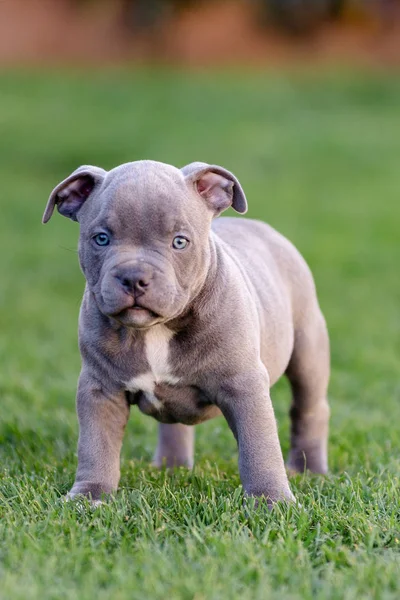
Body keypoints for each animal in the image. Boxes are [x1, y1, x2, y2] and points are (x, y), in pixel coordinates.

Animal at [43, 161, 332, 506]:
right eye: (100, 239)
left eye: (180, 242)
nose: (133, 277)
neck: (156, 329)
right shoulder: (100, 388)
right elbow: (95, 446)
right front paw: (89, 496)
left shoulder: (244, 384)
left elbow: (259, 446)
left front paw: (271, 500)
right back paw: (172, 466)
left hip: (308, 346)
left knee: (309, 408)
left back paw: (310, 469)